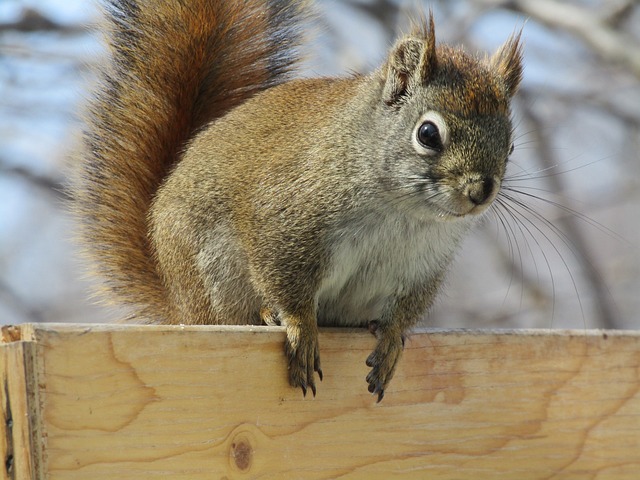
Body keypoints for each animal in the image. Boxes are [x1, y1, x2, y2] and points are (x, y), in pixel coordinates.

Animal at [75, 0, 524, 402]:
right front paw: (301, 329)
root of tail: (178, 304)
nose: (480, 191)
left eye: (511, 145)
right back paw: (261, 315)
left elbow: (405, 312)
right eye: (428, 134)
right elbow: (286, 284)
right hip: (213, 272)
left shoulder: (421, 266)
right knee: (225, 316)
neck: (405, 213)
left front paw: (392, 339)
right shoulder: (284, 218)